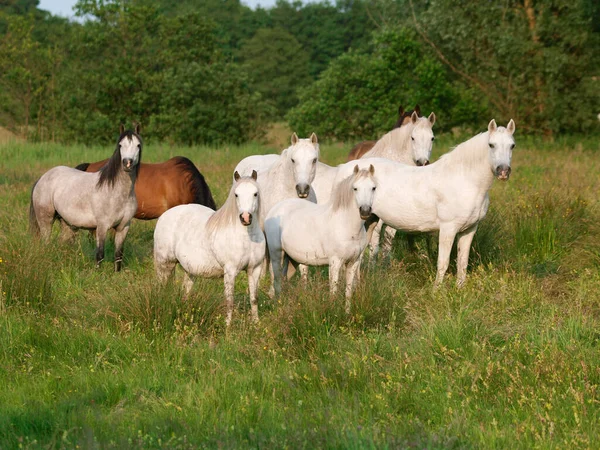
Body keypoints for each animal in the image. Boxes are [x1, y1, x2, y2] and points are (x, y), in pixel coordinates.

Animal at [30, 123, 143, 270]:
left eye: (138, 145)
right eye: (120, 145)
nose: (127, 163)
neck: (117, 193)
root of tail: (43, 178)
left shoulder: (123, 227)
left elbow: (119, 255)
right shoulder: (102, 227)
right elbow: (100, 254)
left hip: (67, 224)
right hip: (45, 220)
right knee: (46, 242)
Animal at [155, 171, 264, 326]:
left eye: (255, 193)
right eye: (236, 194)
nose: (245, 218)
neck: (247, 238)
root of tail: (164, 216)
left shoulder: (254, 269)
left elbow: (254, 299)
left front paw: (256, 324)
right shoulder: (230, 272)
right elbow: (229, 301)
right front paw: (227, 327)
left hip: (189, 270)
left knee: (185, 292)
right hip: (165, 264)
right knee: (161, 289)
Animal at [266, 165, 378, 312]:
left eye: (373, 188)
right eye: (355, 188)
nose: (365, 211)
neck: (347, 226)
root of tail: (274, 211)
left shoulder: (353, 262)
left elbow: (348, 291)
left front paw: (347, 313)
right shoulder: (335, 262)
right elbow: (334, 290)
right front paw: (334, 312)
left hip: (291, 259)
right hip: (276, 255)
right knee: (276, 281)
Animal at [332, 118, 516, 288]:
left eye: (512, 146)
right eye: (491, 145)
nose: (503, 171)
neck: (463, 179)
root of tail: (343, 169)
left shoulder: (469, 229)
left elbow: (462, 263)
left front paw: (459, 289)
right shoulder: (448, 229)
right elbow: (443, 263)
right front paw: (436, 292)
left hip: (369, 220)